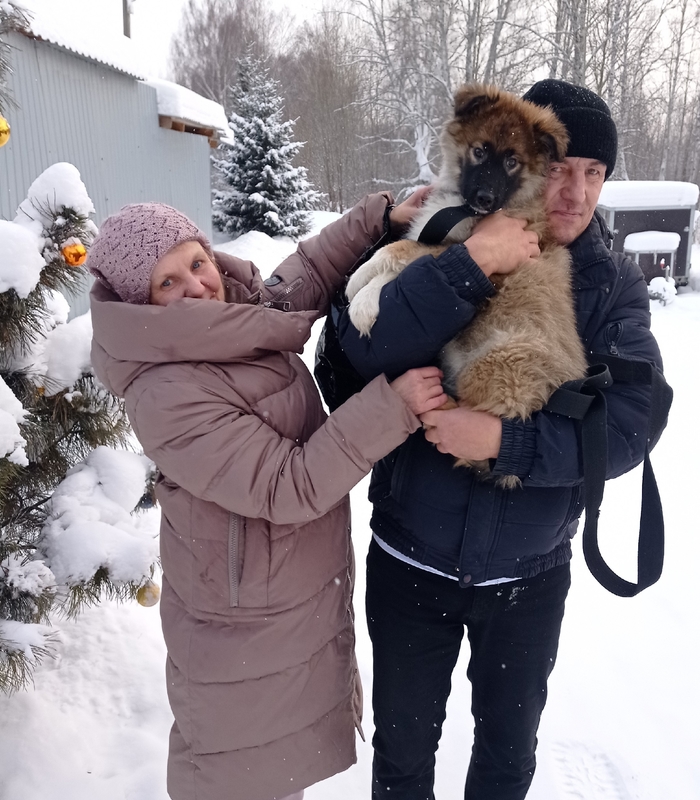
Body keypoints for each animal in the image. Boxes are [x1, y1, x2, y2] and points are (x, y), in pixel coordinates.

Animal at [345, 84, 588, 487]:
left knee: (466, 429)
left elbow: (402, 252)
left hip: (496, 363)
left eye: (512, 162)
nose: (485, 199)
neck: (462, 207)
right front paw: (363, 283)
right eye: (480, 151)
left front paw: (361, 294)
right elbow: (405, 252)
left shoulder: (460, 251)